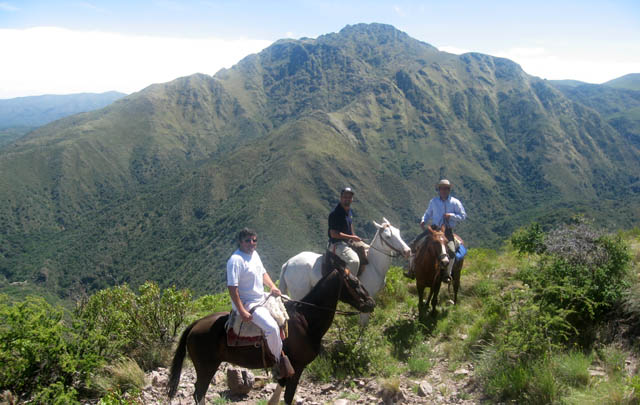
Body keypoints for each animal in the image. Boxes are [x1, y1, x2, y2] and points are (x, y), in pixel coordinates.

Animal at [168, 266, 376, 404]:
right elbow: (288, 397)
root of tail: (196, 324)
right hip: (206, 367)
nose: (371, 303)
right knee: (199, 393)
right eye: (355, 282)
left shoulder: (287, 368)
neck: (305, 321)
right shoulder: (297, 367)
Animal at [278, 216, 410, 324]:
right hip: (299, 292)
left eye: (398, 232)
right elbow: (363, 323)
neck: (374, 264)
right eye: (388, 236)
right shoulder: (369, 296)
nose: (407, 251)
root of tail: (288, 263)